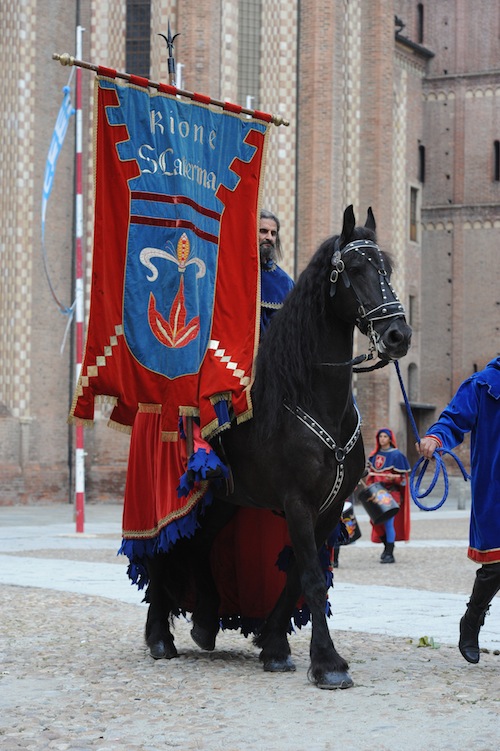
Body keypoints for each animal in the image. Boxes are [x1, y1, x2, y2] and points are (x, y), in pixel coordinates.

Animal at [144, 206, 410, 688]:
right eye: (355, 269)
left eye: (387, 268)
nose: (399, 335)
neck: (312, 398)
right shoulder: (298, 502)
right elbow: (313, 579)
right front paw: (327, 664)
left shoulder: (329, 507)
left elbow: (297, 576)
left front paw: (274, 644)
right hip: (170, 498)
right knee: (160, 550)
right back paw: (159, 637)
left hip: (222, 500)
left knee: (198, 547)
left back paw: (206, 621)